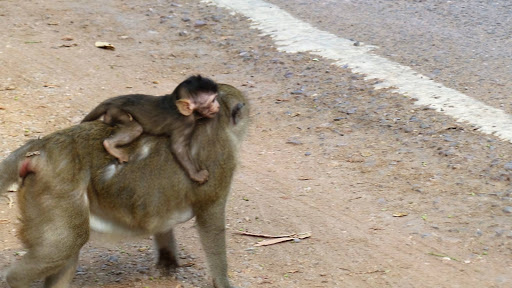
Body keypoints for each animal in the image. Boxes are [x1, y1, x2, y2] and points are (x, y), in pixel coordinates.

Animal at [82, 74, 220, 182]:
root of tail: (113, 100)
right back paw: (110, 145)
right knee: (135, 128)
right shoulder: (186, 123)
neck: (175, 103)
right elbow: (178, 147)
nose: (218, 106)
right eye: (213, 100)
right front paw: (197, 175)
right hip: (117, 111)